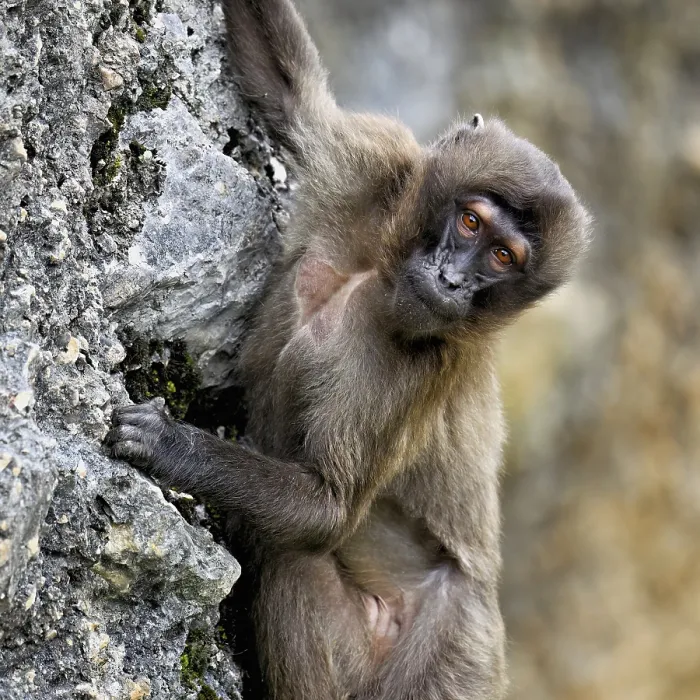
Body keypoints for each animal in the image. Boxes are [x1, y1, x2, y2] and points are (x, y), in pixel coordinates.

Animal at [106, 1, 591, 698]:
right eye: (472, 221)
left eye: (503, 257)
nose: (452, 279)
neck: (382, 275)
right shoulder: (373, 162)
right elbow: (287, 89)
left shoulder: (415, 367)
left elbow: (326, 509)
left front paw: (172, 447)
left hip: (451, 651)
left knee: (290, 554)